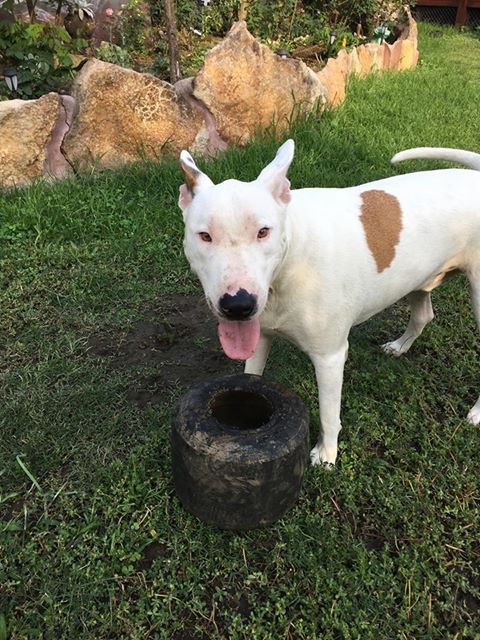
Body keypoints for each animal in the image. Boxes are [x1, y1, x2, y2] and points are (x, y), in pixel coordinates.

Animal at [178, 141, 480, 465]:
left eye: (263, 232)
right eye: (205, 236)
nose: (238, 304)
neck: (291, 258)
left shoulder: (330, 357)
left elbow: (328, 414)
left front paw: (327, 455)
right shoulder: (259, 337)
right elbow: (251, 377)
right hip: (417, 276)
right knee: (424, 314)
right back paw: (400, 346)